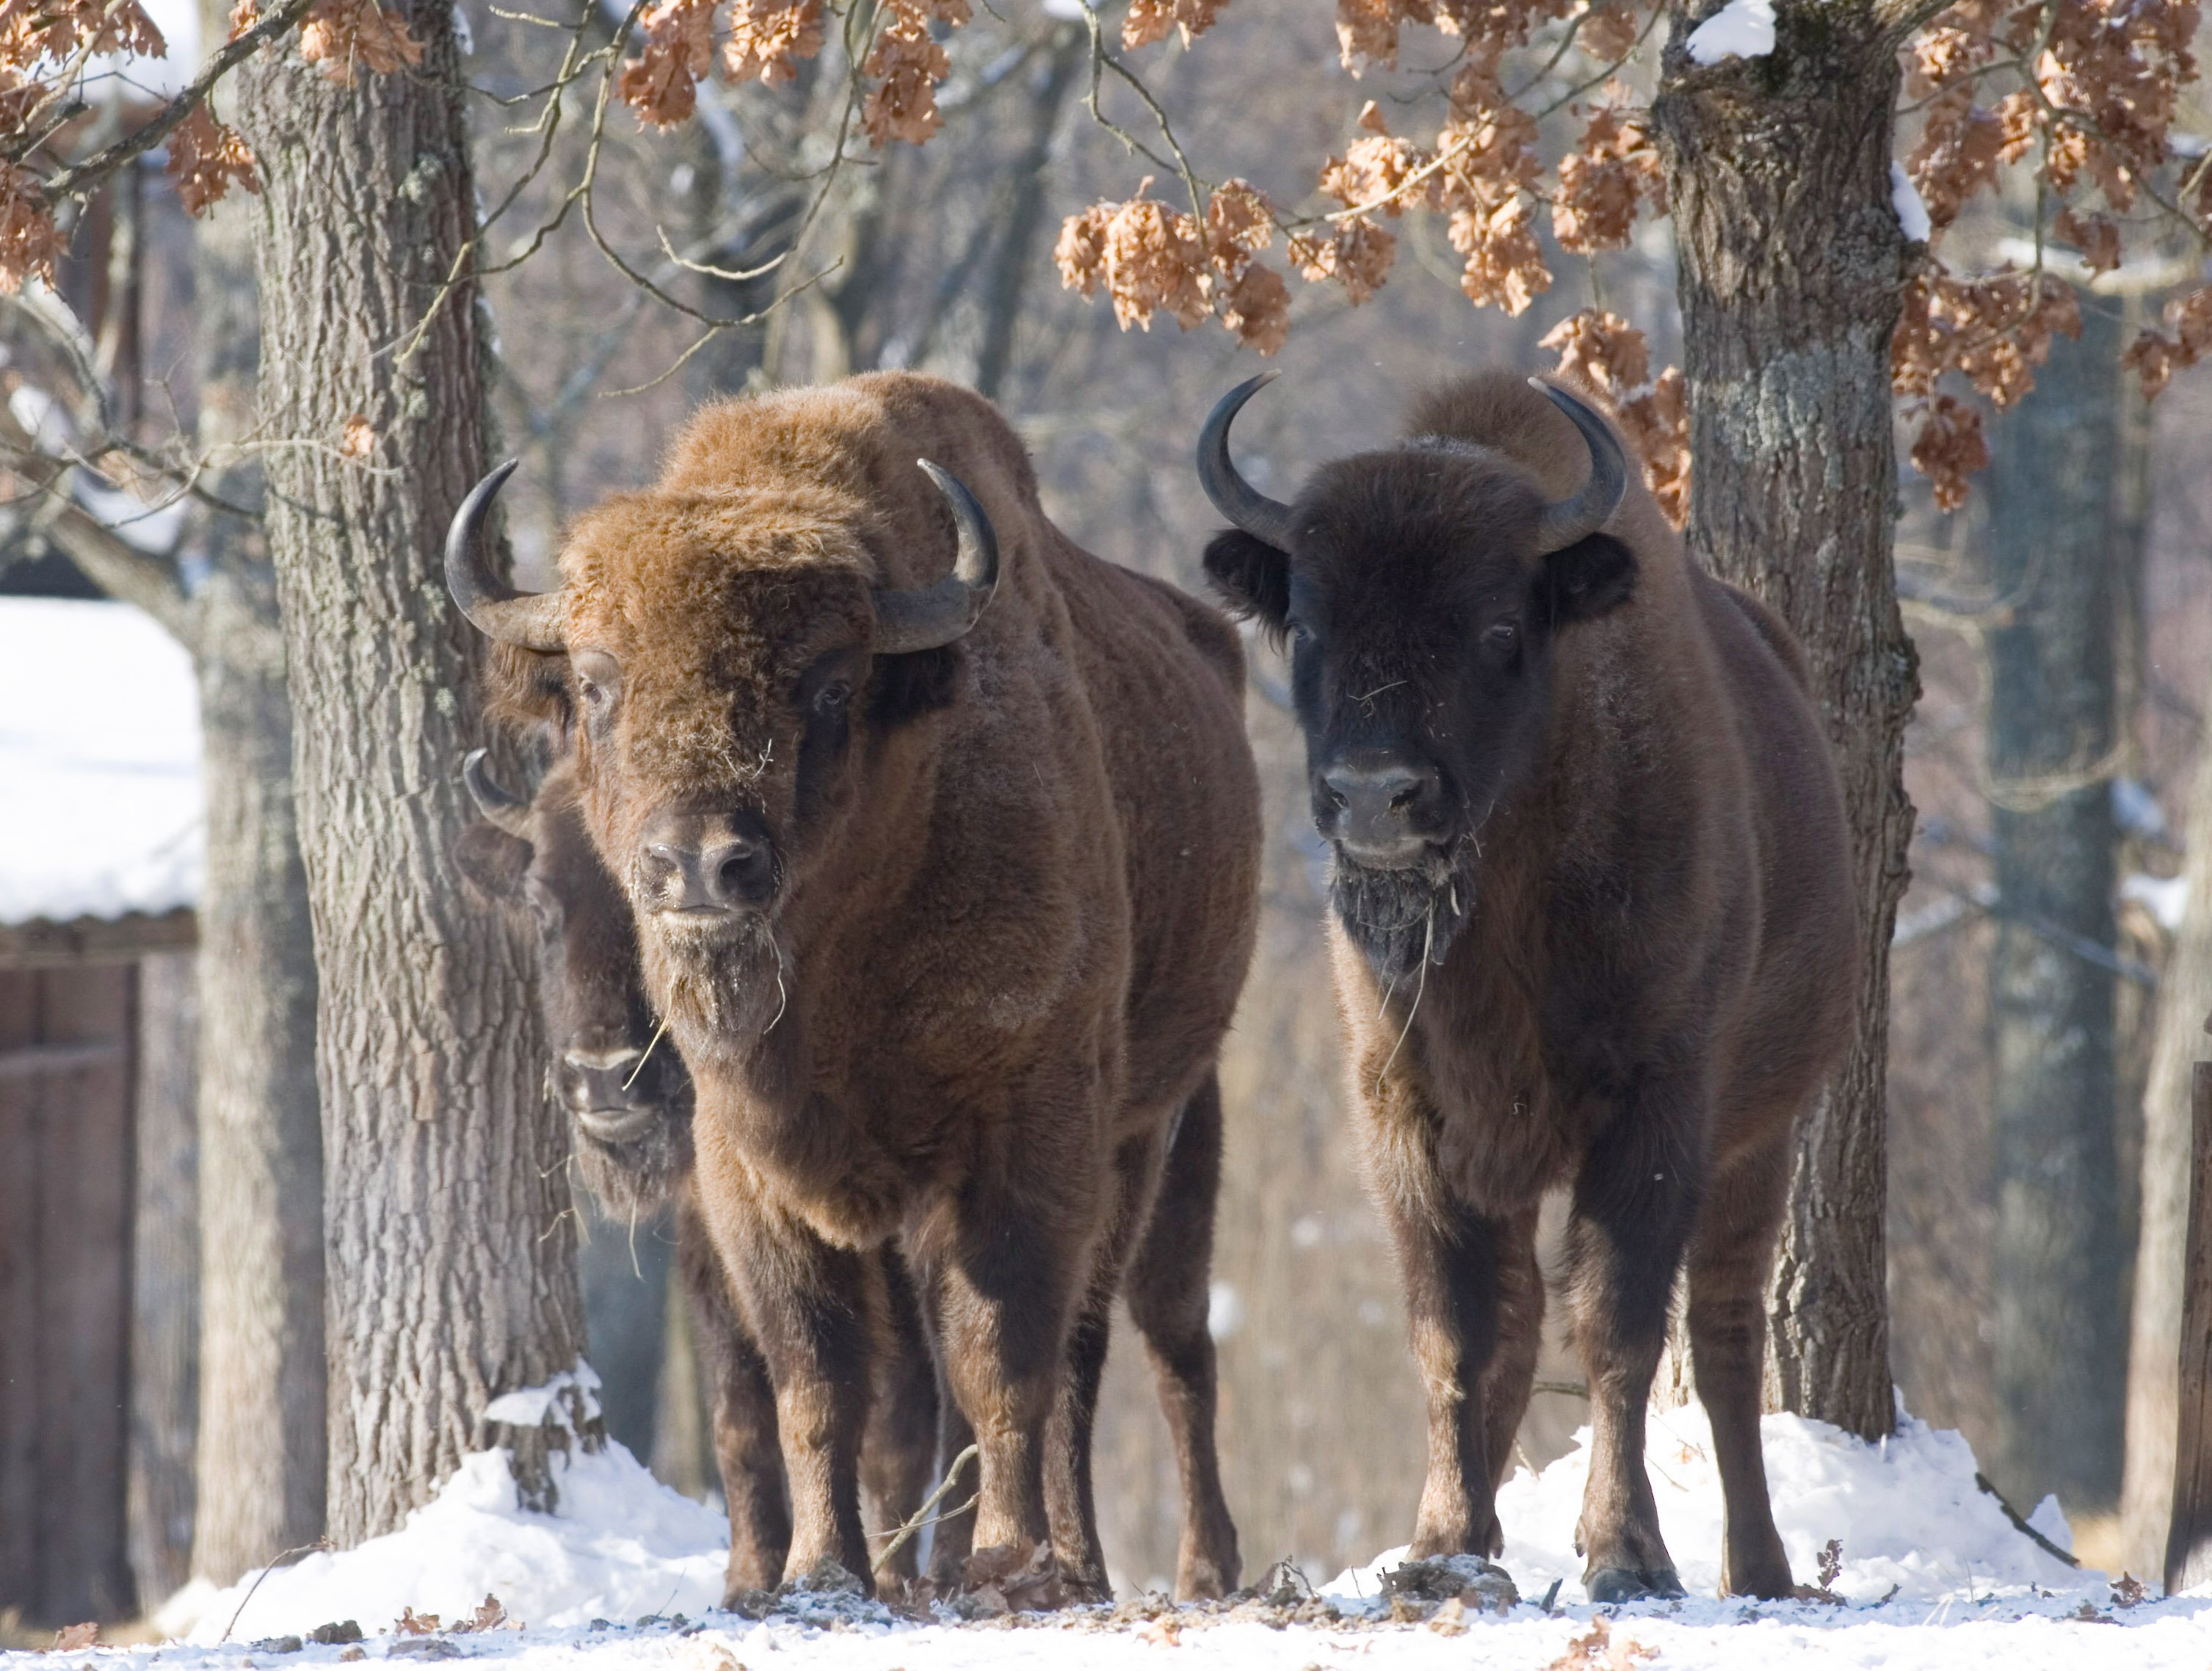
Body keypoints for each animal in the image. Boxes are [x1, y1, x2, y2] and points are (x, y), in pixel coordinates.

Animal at [444, 371, 1265, 1602]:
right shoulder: (748, 1175)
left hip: (1158, 1130)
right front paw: (822, 1571)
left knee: (1134, 1345)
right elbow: (814, 1378)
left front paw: (1003, 1555)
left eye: (830, 683)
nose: (698, 866)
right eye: (595, 682)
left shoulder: (1027, 1125)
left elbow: (1001, 1354)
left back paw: (1124, 1564)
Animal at [1203, 369, 1857, 1611]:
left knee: (1728, 1336)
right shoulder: (1408, 1116)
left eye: (1498, 627)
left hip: (1764, 1136)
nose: (1376, 796)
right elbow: (1456, 1336)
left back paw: (1757, 1567)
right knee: (1512, 1331)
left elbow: (1616, 1328)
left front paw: (1627, 1557)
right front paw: (1442, 1549)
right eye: (1306, 626)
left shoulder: (1656, 1110)